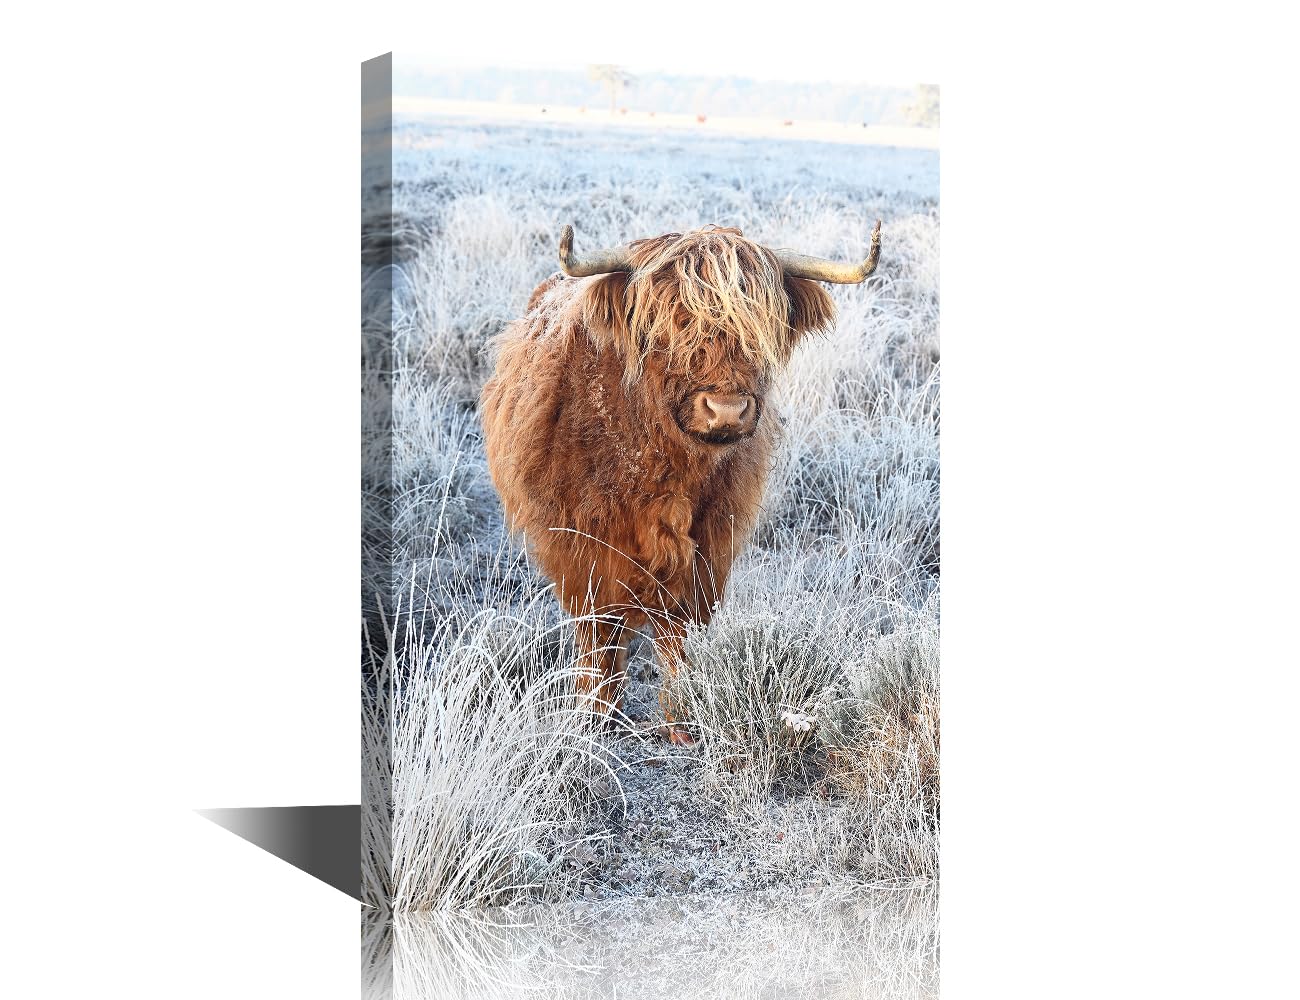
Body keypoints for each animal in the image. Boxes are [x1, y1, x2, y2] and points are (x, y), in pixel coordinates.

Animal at [480, 222, 882, 743]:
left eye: (759, 326)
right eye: (670, 324)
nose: (726, 409)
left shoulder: (708, 545)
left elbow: (676, 631)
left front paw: (682, 721)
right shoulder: (581, 546)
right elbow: (598, 632)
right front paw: (595, 717)